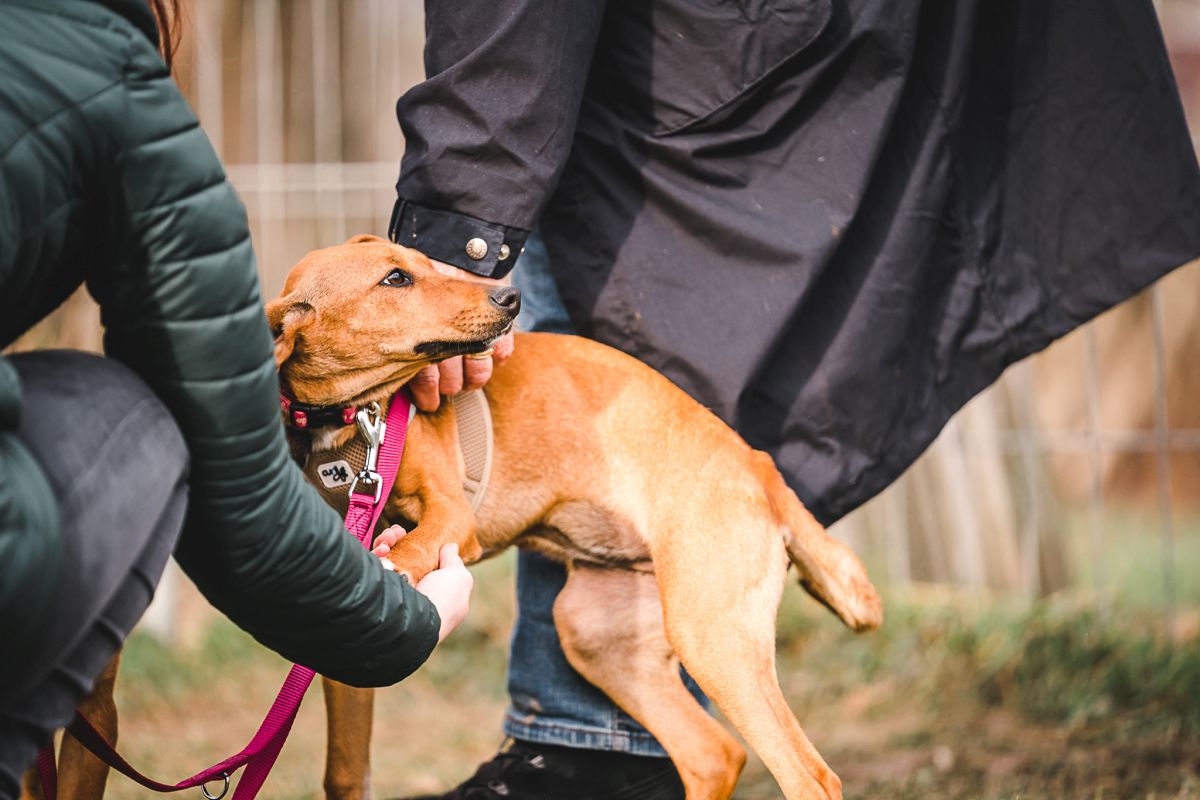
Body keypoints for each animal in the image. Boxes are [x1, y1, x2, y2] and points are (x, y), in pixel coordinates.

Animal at [270, 235, 883, 800]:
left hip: (712, 635)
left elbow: (409, 549)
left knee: (810, 776)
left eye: (428, 265)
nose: (510, 297)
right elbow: (345, 772)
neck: (346, 423)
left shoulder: (449, 514)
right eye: (396, 278)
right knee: (713, 754)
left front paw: (394, 574)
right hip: (598, 634)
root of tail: (759, 465)